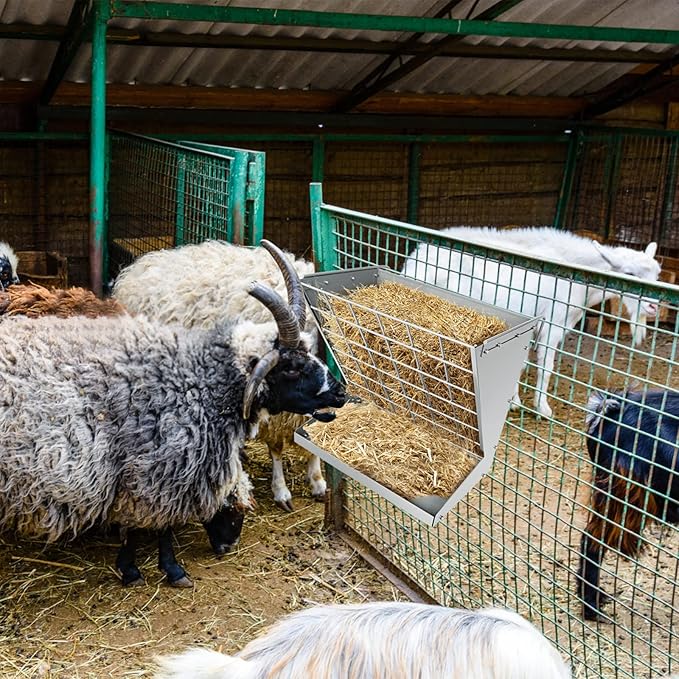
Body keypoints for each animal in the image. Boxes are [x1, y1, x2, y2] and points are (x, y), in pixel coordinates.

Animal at [401, 227, 661, 418]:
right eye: (629, 274)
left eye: (657, 275)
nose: (654, 307)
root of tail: (417, 261)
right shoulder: (553, 323)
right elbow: (545, 367)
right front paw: (541, 408)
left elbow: (520, 364)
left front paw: (514, 401)